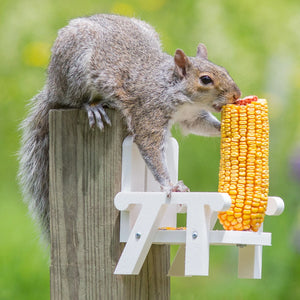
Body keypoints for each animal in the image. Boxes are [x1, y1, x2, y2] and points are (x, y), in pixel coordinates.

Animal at [18, 13, 241, 241]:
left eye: (225, 70)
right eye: (205, 79)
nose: (237, 95)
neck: (172, 89)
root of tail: (52, 86)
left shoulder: (190, 116)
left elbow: (200, 124)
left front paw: (226, 128)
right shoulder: (148, 114)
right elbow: (150, 147)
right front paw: (170, 186)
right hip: (74, 70)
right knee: (73, 100)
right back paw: (92, 107)